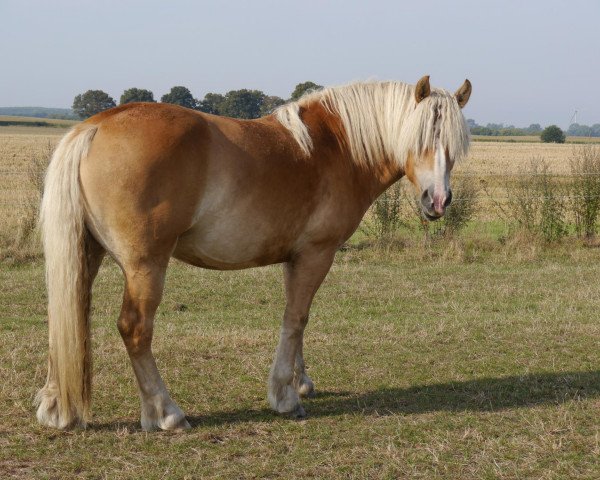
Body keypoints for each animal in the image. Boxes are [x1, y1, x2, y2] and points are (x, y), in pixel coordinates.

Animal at [35, 76, 472, 432]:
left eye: (453, 145)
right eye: (420, 138)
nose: (438, 200)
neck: (337, 147)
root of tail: (94, 126)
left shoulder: (295, 259)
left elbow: (298, 322)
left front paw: (300, 382)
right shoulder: (316, 254)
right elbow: (296, 319)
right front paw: (284, 396)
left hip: (86, 256)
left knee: (66, 316)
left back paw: (57, 409)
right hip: (146, 266)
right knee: (135, 329)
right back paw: (166, 413)